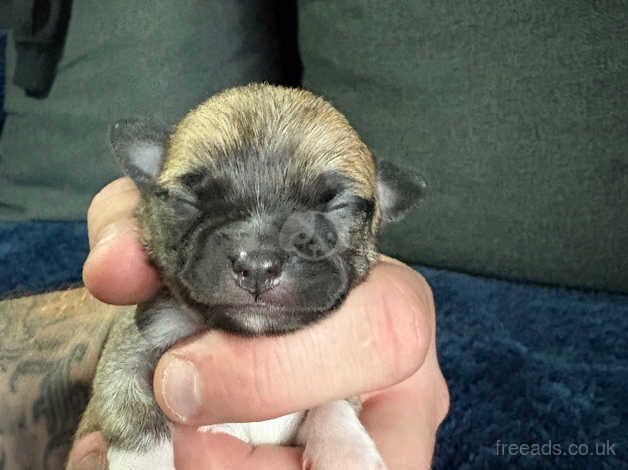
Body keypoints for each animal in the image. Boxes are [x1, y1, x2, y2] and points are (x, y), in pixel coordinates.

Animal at [73, 84, 426, 470]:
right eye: (189, 202)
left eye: (339, 208)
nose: (257, 264)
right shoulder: (130, 351)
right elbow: (130, 406)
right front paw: (145, 463)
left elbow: (335, 403)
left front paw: (348, 452)